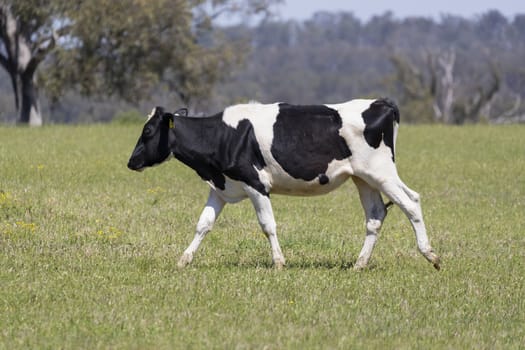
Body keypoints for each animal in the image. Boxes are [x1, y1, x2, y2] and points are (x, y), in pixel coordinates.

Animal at [129, 99, 440, 270]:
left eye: (148, 130)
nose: (131, 162)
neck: (223, 135)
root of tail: (381, 102)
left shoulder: (255, 184)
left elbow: (268, 225)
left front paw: (279, 262)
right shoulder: (221, 187)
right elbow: (203, 224)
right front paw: (184, 260)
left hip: (382, 173)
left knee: (411, 202)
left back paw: (431, 255)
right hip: (363, 178)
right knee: (376, 216)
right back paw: (359, 264)